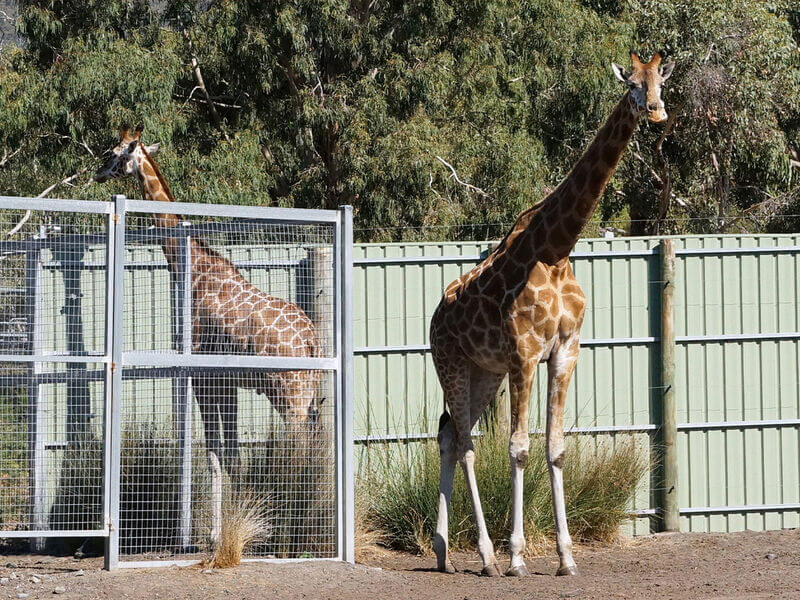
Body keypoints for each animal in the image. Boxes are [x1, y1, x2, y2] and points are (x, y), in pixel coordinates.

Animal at [92, 125, 320, 478]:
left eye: (115, 153)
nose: (98, 173)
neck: (193, 268)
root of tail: (310, 340)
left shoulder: (201, 371)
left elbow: (215, 450)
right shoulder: (226, 380)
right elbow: (231, 455)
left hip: (287, 390)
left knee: (299, 447)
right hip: (309, 392)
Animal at [428, 51, 672, 576]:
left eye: (661, 83)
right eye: (632, 84)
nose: (657, 112)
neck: (556, 250)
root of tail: (435, 315)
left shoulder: (565, 351)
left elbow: (556, 447)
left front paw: (566, 557)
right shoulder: (524, 354)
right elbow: (518, 447)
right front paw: (518, 557)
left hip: (484, 373)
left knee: (450, 435)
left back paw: (443, 552)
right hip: (450, 362)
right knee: (466, 443)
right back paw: (486, 557)